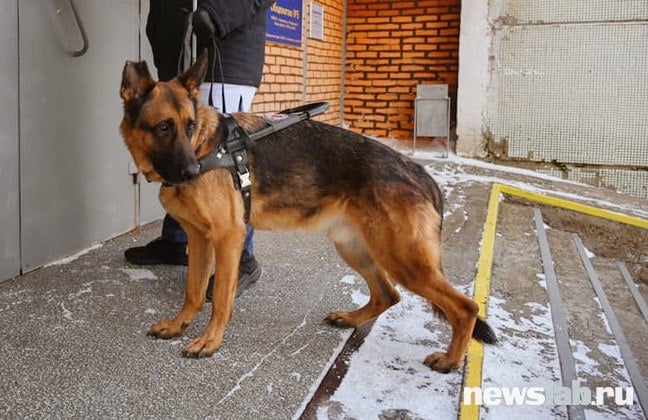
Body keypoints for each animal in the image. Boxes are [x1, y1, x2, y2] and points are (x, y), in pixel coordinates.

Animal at [120, 53, 496, 374]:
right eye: (164, 127)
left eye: (189, 125)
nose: (190, 171)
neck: (206, 147)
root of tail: (420, 173)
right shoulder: (199, 239)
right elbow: (194, 292)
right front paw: (178, 325)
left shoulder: (229, 238)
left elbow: (221, 299)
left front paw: (210, 342)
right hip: (355, 248)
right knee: (388, 294)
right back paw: (351, 318)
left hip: (404, 260)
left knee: (465, 308)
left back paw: (450, 360)